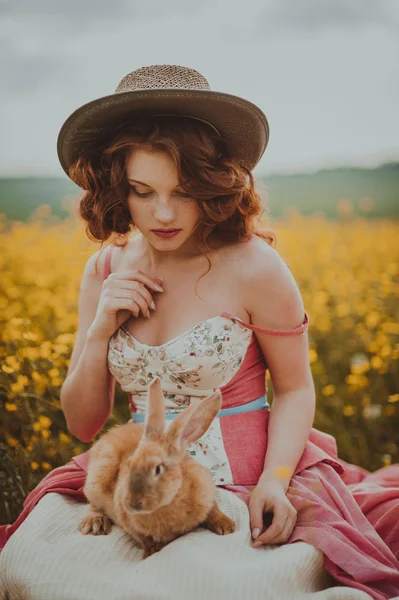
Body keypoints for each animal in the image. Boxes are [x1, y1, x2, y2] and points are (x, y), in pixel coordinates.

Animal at [78, 376, 236, 556]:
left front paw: (226, 526)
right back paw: (94, 524)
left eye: (158, 469)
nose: (132, 503)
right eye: (129, 464)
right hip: (97, 481)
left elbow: (213, 511)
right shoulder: (130, 523)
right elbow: (144, 538)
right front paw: (152, 552)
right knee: (94, 504)